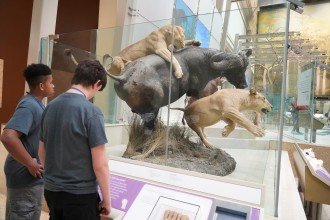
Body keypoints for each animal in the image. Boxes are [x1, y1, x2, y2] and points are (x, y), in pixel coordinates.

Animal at [107, 46, 251, 129]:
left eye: (245, 68)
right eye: (238, 69)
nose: (244, 85)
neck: (205, 59)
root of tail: (124, 76)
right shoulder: (198, 91)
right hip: (152, 108)